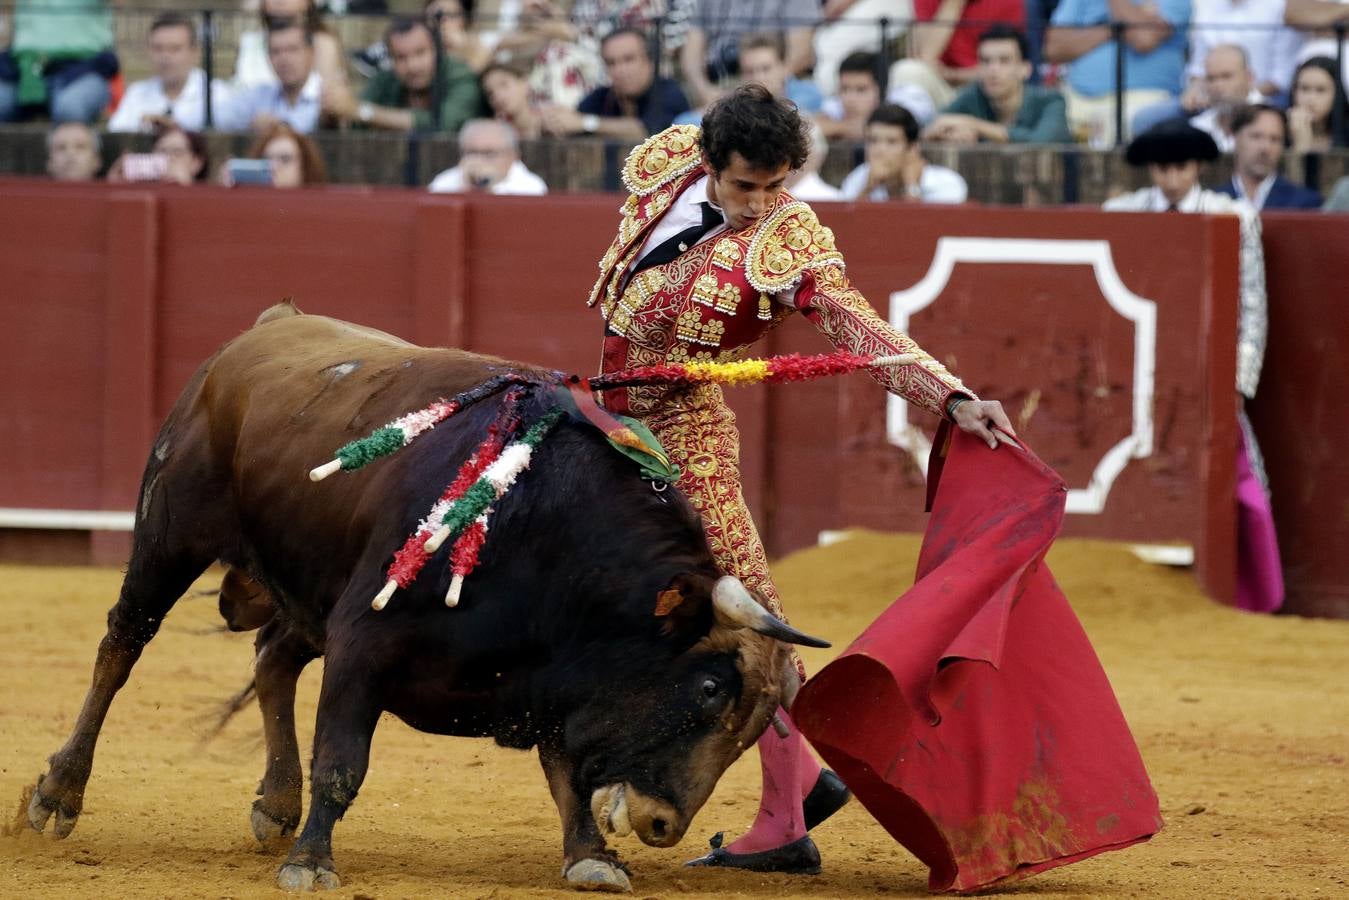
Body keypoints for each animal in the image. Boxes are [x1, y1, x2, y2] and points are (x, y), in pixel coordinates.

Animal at [26, 307, 825, 895]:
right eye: (709, 688)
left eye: (758, 725)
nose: (664, 825)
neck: (543, 524)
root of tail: (267, 326)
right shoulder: (363, 641)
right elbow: (343, 760)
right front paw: (311, 865)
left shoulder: (549, 673)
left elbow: (564, 766)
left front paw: (590, 856)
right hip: (170, 535)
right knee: (122, 645)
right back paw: (58, 794)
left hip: (313, 586)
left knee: (273, 657)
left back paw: (276, 804)